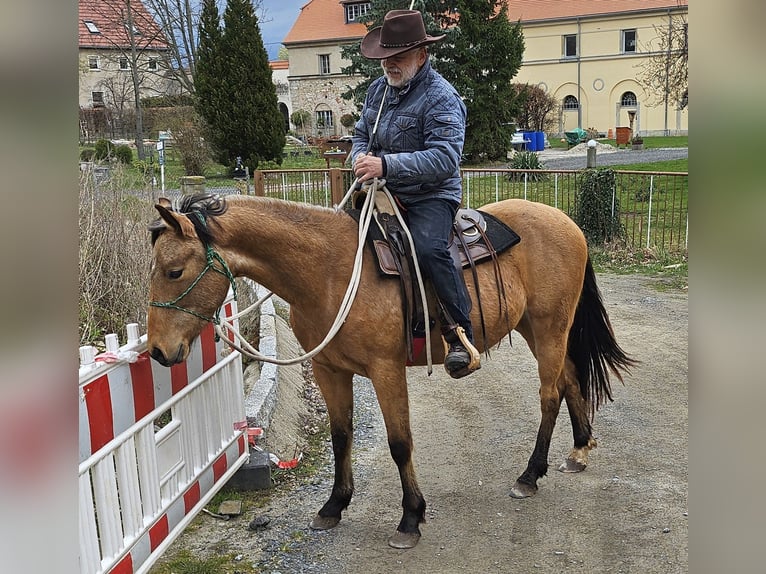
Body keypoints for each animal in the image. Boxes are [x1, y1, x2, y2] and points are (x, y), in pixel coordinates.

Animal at [146, 192, 635, 549]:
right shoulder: (328, 369)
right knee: (569, 379)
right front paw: (333, 506)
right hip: (536, 328)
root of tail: (566, 222)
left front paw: (411, 517)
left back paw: (530, 476)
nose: (158, 351)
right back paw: (579, 450)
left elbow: (400, 443)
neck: (331, 271)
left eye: (174, 271)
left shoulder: (385, 370)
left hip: (551, 326)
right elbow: (340, 436)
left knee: (550, 394)